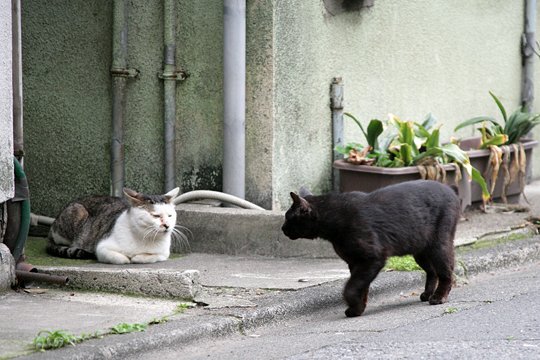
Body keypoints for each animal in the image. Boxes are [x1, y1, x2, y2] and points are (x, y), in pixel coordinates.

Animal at [44, 188, 184, 264]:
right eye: (155, 216)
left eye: (170, 216)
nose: (167, 225)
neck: (145, 237)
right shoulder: (101, 248)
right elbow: (122, 259)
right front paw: (129, 258)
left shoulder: (164, 253)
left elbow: (150, 257)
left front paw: (137, 257)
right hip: (78, 212)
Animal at [282, 180, 460, 318]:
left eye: (288, 218)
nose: (282, 229)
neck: (333, 219)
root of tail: (450, 188)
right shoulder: (355, 262)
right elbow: (362, 287)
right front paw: (358, 308)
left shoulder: (372, 259)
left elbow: (352, 287)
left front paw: (353, 304)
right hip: (420, 251)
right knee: (432, 272)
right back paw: (428, 294)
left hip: (439, 246)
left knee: (446, 273)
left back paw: (438, 297)